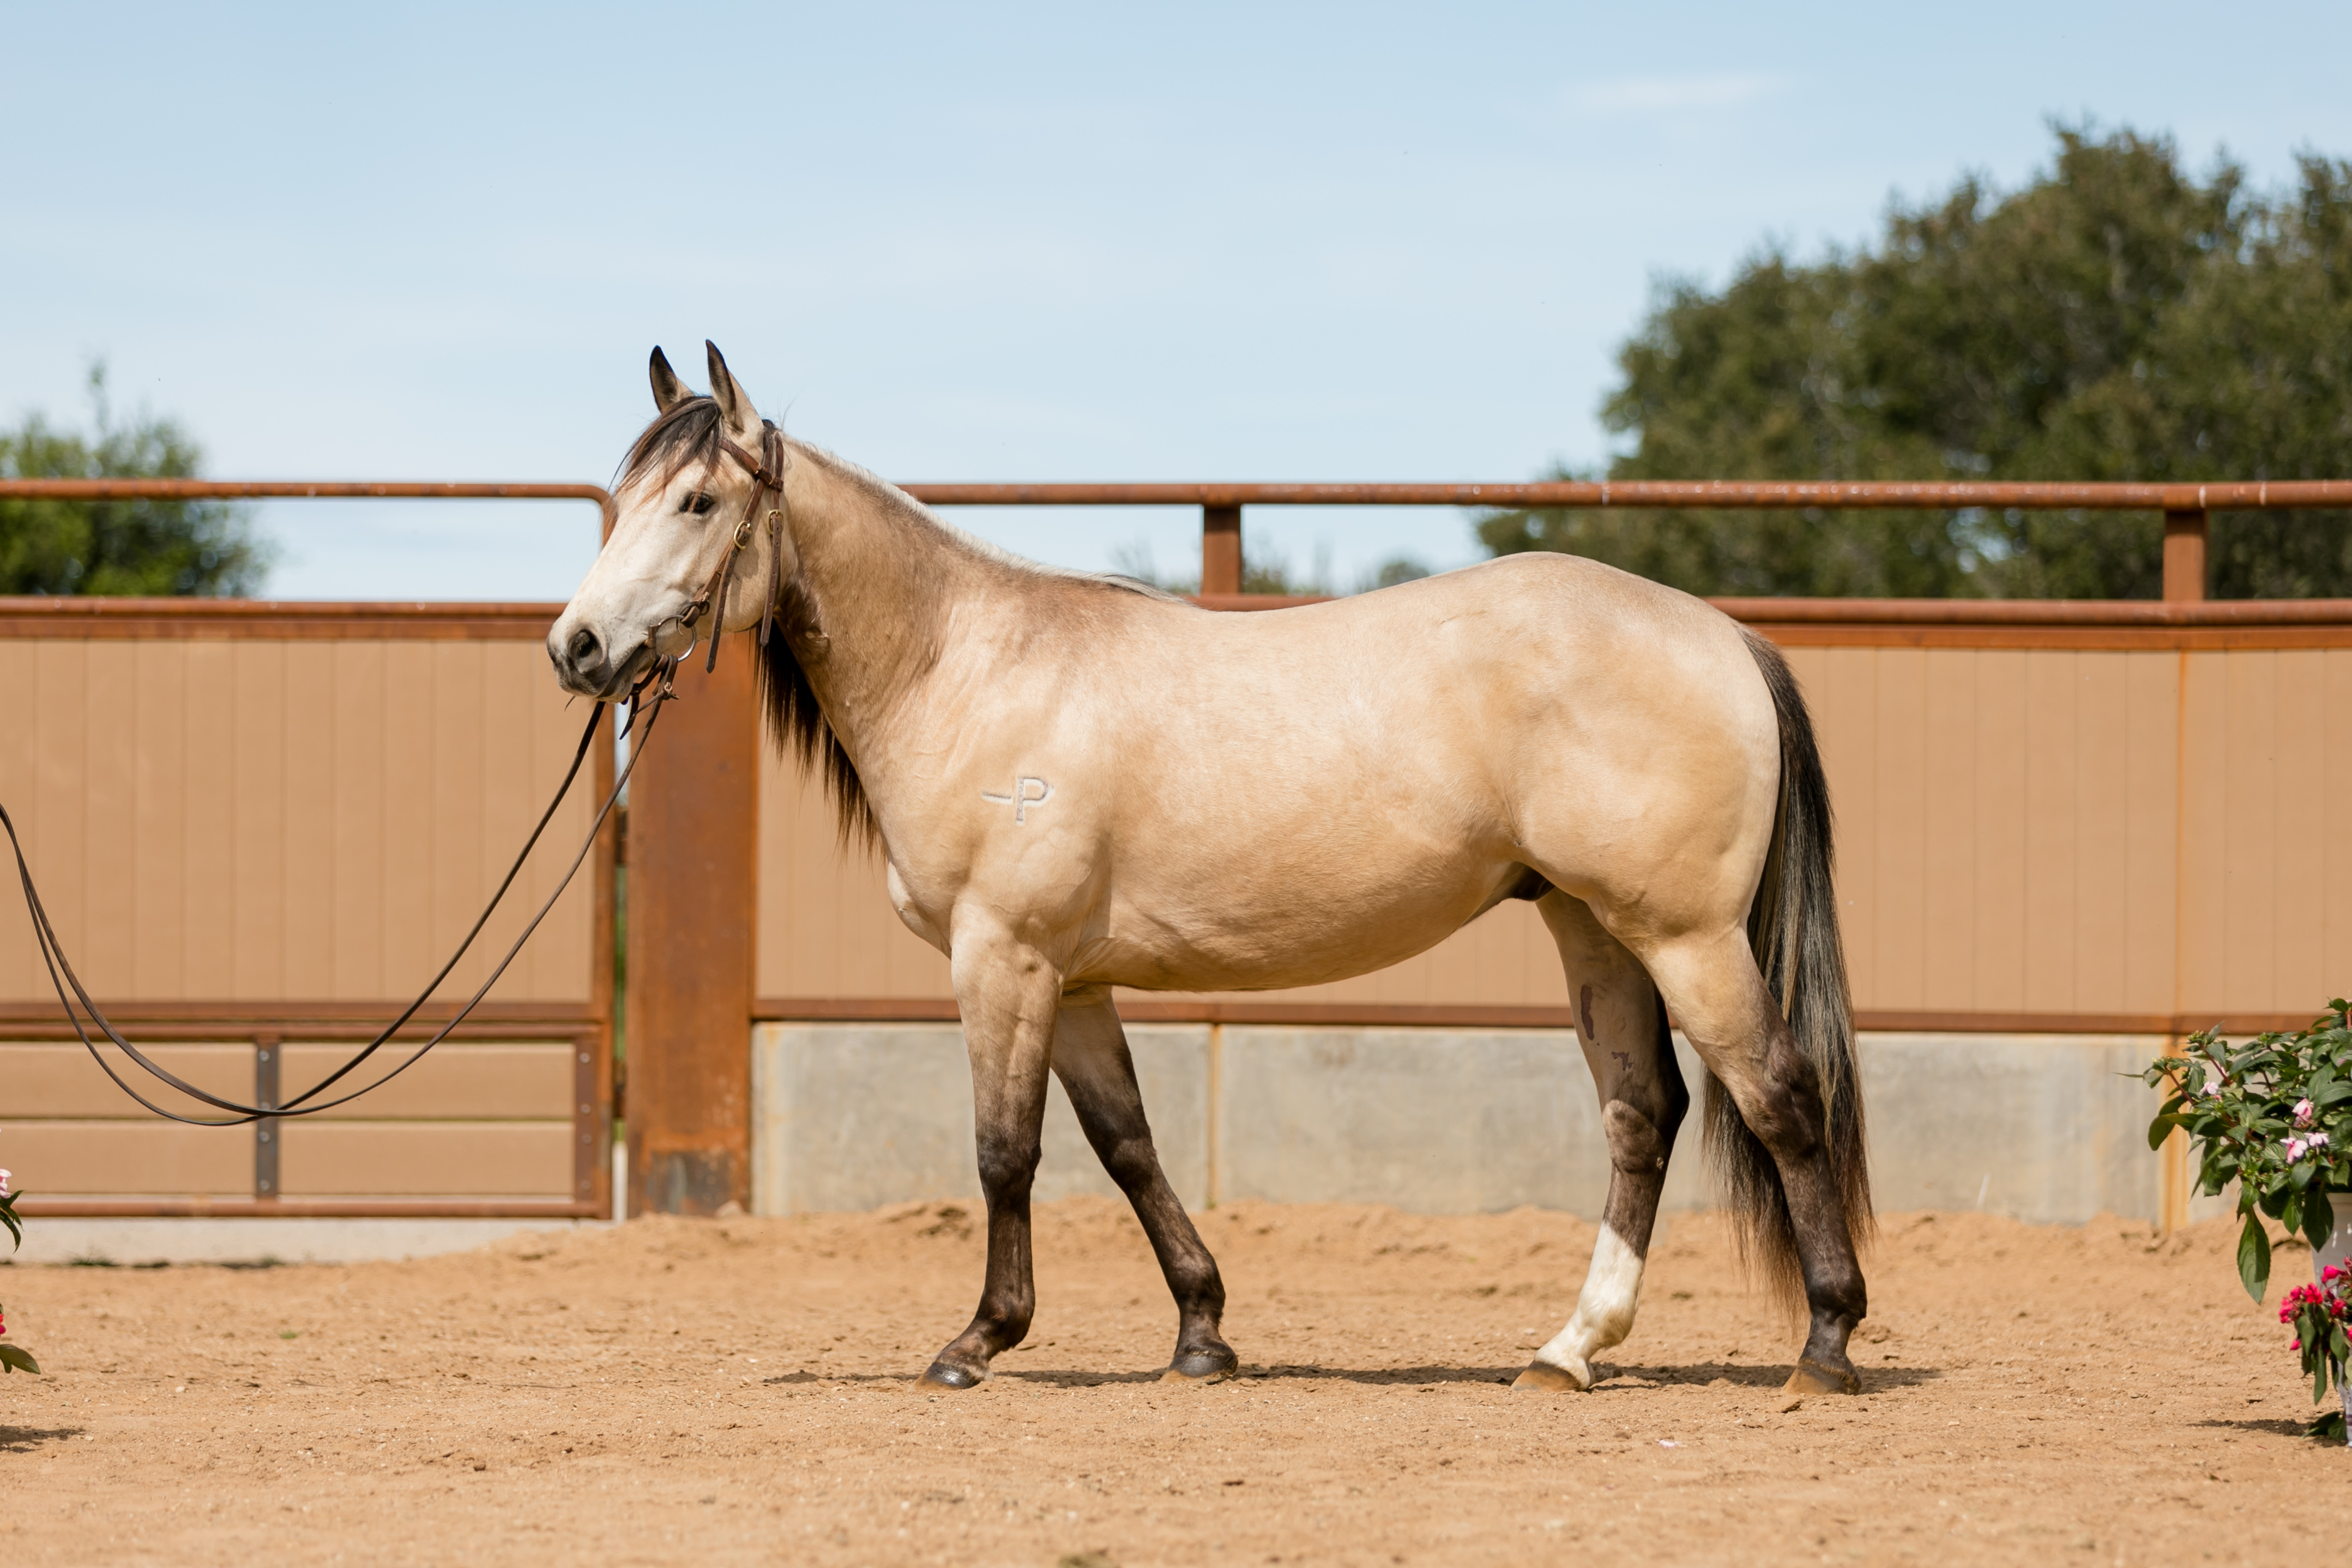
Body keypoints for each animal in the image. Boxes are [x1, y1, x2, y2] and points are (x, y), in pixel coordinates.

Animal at [549, 342, 1872, 1397]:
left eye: (699, 499)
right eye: (621, 501)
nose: (577, 648)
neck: (968, 668)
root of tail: (1725, 634)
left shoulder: (1002, 960)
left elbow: (1005, 1150)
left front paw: (978, 1340)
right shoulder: (1074, 981)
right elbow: (1127, 1145)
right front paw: (1201, 1333)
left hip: (1685, 936)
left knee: (1779, 1095)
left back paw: (1824, 1345)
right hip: (1596, 929)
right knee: (1641, 1116)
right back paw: (1568, 1348)